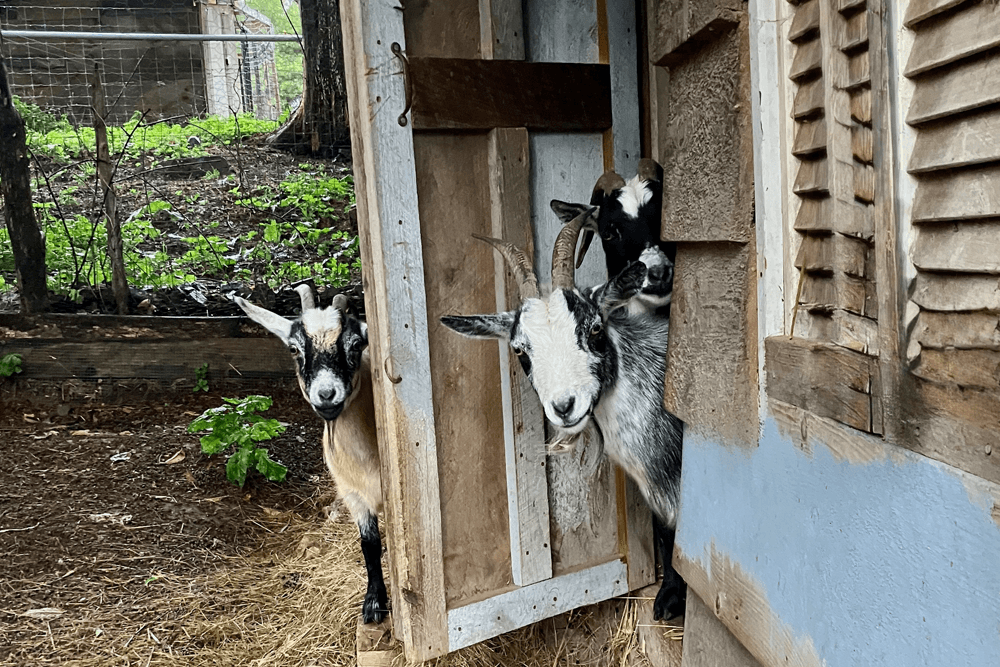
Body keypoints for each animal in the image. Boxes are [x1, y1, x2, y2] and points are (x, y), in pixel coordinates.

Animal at [232, 286, 388, 624]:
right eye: (294, 349)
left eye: (356, 344)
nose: (326, 394)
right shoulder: (352, 493)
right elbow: (369, 545)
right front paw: (373, 603)